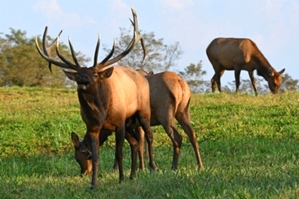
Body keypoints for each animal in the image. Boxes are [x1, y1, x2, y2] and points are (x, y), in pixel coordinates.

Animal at [35, 7, 158, 188]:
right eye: (77, 156)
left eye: (94, 74)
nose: (82, 79)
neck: (101, 113)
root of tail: (143, 75)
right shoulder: (92, 127)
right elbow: (99, 156)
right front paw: (93, 184)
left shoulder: (119, 123)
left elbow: (118, 153)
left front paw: (120, 179)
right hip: (129, 122)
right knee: (135, 143)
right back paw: (133, 175)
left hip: (142, 111)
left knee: (148, 136)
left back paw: (152, 168)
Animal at [71, 69, 205, 174]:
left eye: (81, 154)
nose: (84, 172)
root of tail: (180, 83)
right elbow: (140, 143)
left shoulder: (129, 124)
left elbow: (135, 144)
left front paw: (135, 168)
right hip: (183, 111)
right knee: (192, 135)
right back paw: (200, 166)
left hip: (165, 115)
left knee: (177, 137)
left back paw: (174, 167)